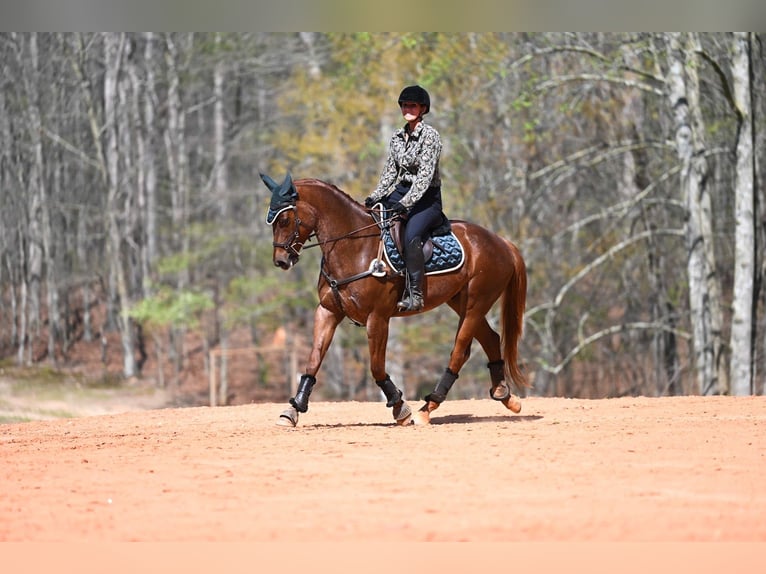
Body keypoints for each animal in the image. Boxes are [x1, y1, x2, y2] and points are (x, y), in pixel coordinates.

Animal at [261, 172, 529, 427]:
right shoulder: (328, 311)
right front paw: (292, 410)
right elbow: (313, 360)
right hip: (461, 302)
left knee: (459, 352)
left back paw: (427, 409)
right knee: (490, 339)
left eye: (284, 219)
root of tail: (501, 242)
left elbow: (376, 367)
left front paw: (400, 408)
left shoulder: (377, 317)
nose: (280, 261)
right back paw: (505, 395)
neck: (353, 246)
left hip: (476, 303)